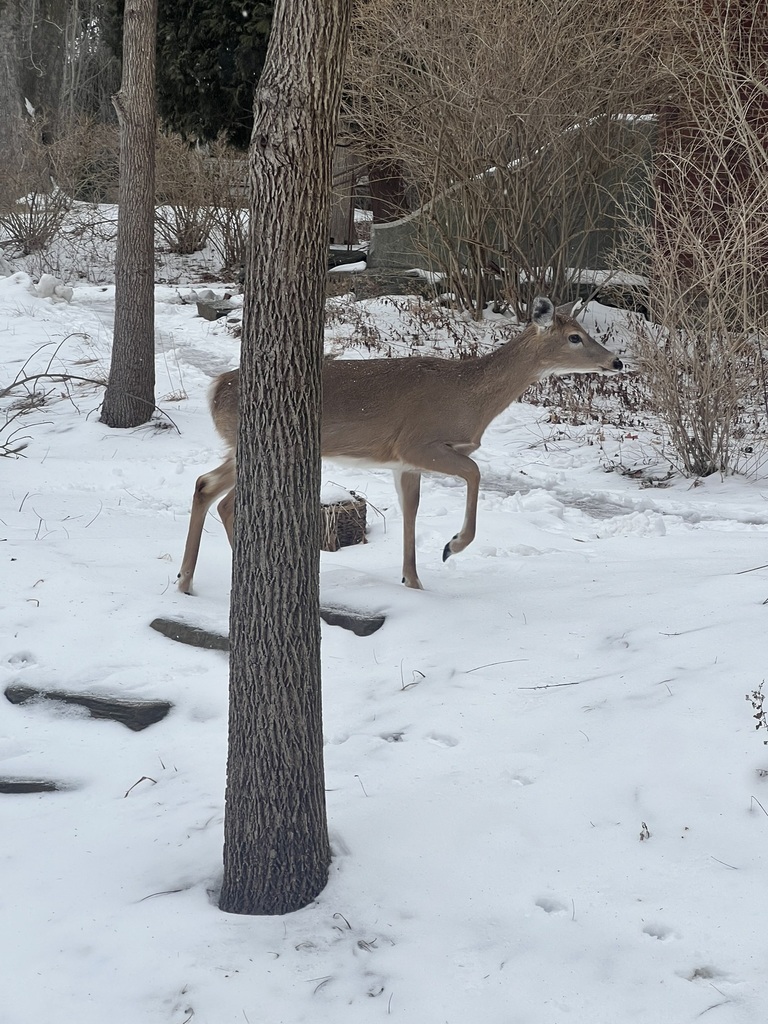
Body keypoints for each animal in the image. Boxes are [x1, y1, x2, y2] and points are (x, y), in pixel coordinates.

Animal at [177, 297, 623, 594]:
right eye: (575, 337)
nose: (616, 361)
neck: (469, 397)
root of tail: (214, 389)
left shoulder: (404, 463)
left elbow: (412, 510)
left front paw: (412, 580)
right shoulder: (416, 443)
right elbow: (475, 472)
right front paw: (451, 547)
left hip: (241, 449)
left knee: (210, 490)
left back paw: (201, 576)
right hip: (247, 446)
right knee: (215, 492)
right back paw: (195, 578)